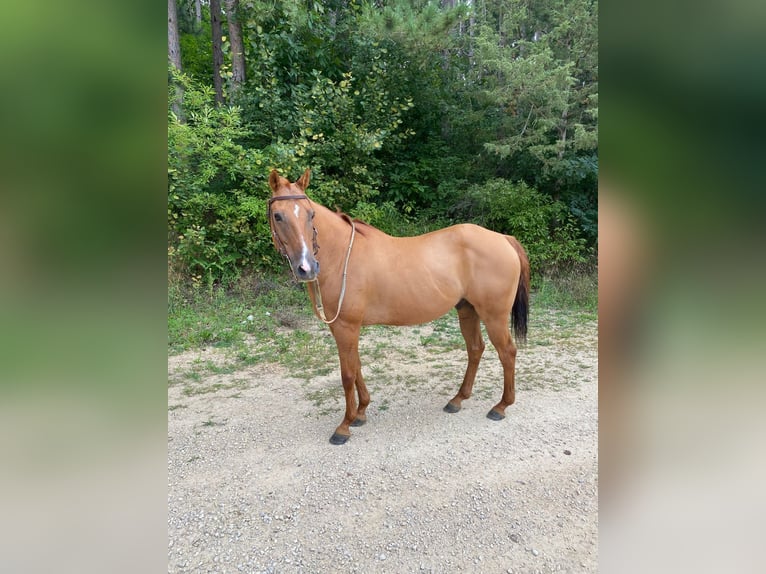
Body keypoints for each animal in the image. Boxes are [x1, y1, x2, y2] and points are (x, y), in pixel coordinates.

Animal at [268, 169, 532, 448]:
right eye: (278, 215)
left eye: (310, 214)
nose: (306, 267)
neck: (342, 256)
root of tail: (503, 238)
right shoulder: (345, 328)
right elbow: (357, 366)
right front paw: (361, 413)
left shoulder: (345, 327)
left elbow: (347, 374)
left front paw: (344, 426)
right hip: (467, 310)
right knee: (475, 349)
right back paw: (457, 400)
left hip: (494, 316)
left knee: (507, 352)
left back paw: (501, 406)